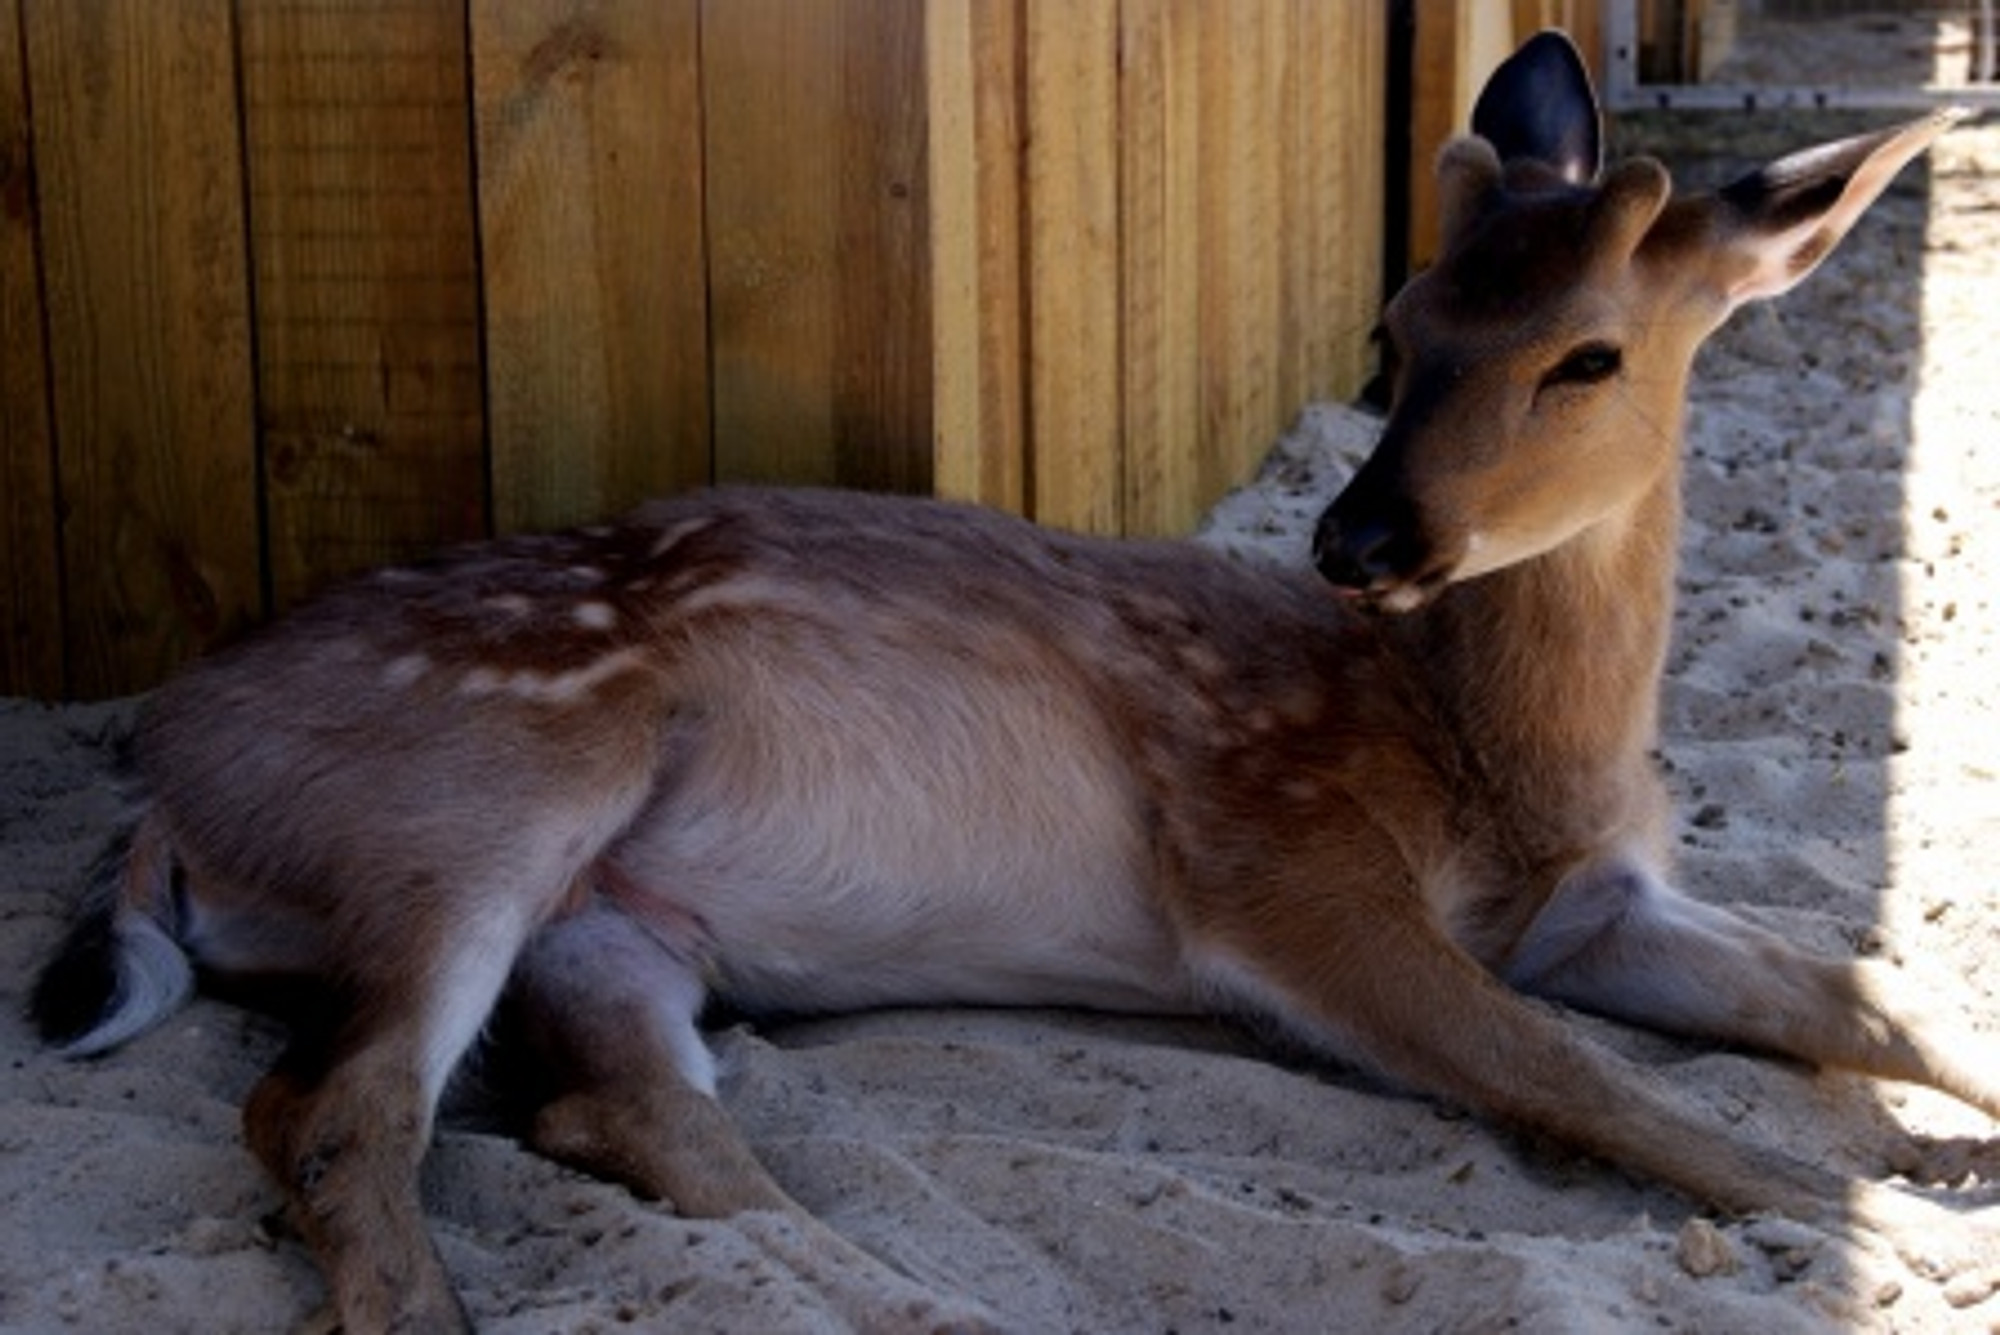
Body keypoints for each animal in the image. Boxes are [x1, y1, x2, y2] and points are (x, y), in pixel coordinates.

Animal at [31, 31, 2000, 1335]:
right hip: (486, 785)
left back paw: (910, 1294)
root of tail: (160, 784)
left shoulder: (1596, 899)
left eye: (1588, 356)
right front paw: (1906, 1243)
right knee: (332, 1109)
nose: (1358, 533)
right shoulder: (1271, 854)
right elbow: (1585, 1082)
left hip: (605, 919)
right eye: (1400, 324)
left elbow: (1876, 990)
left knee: (628, 1119)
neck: (1490, 762)